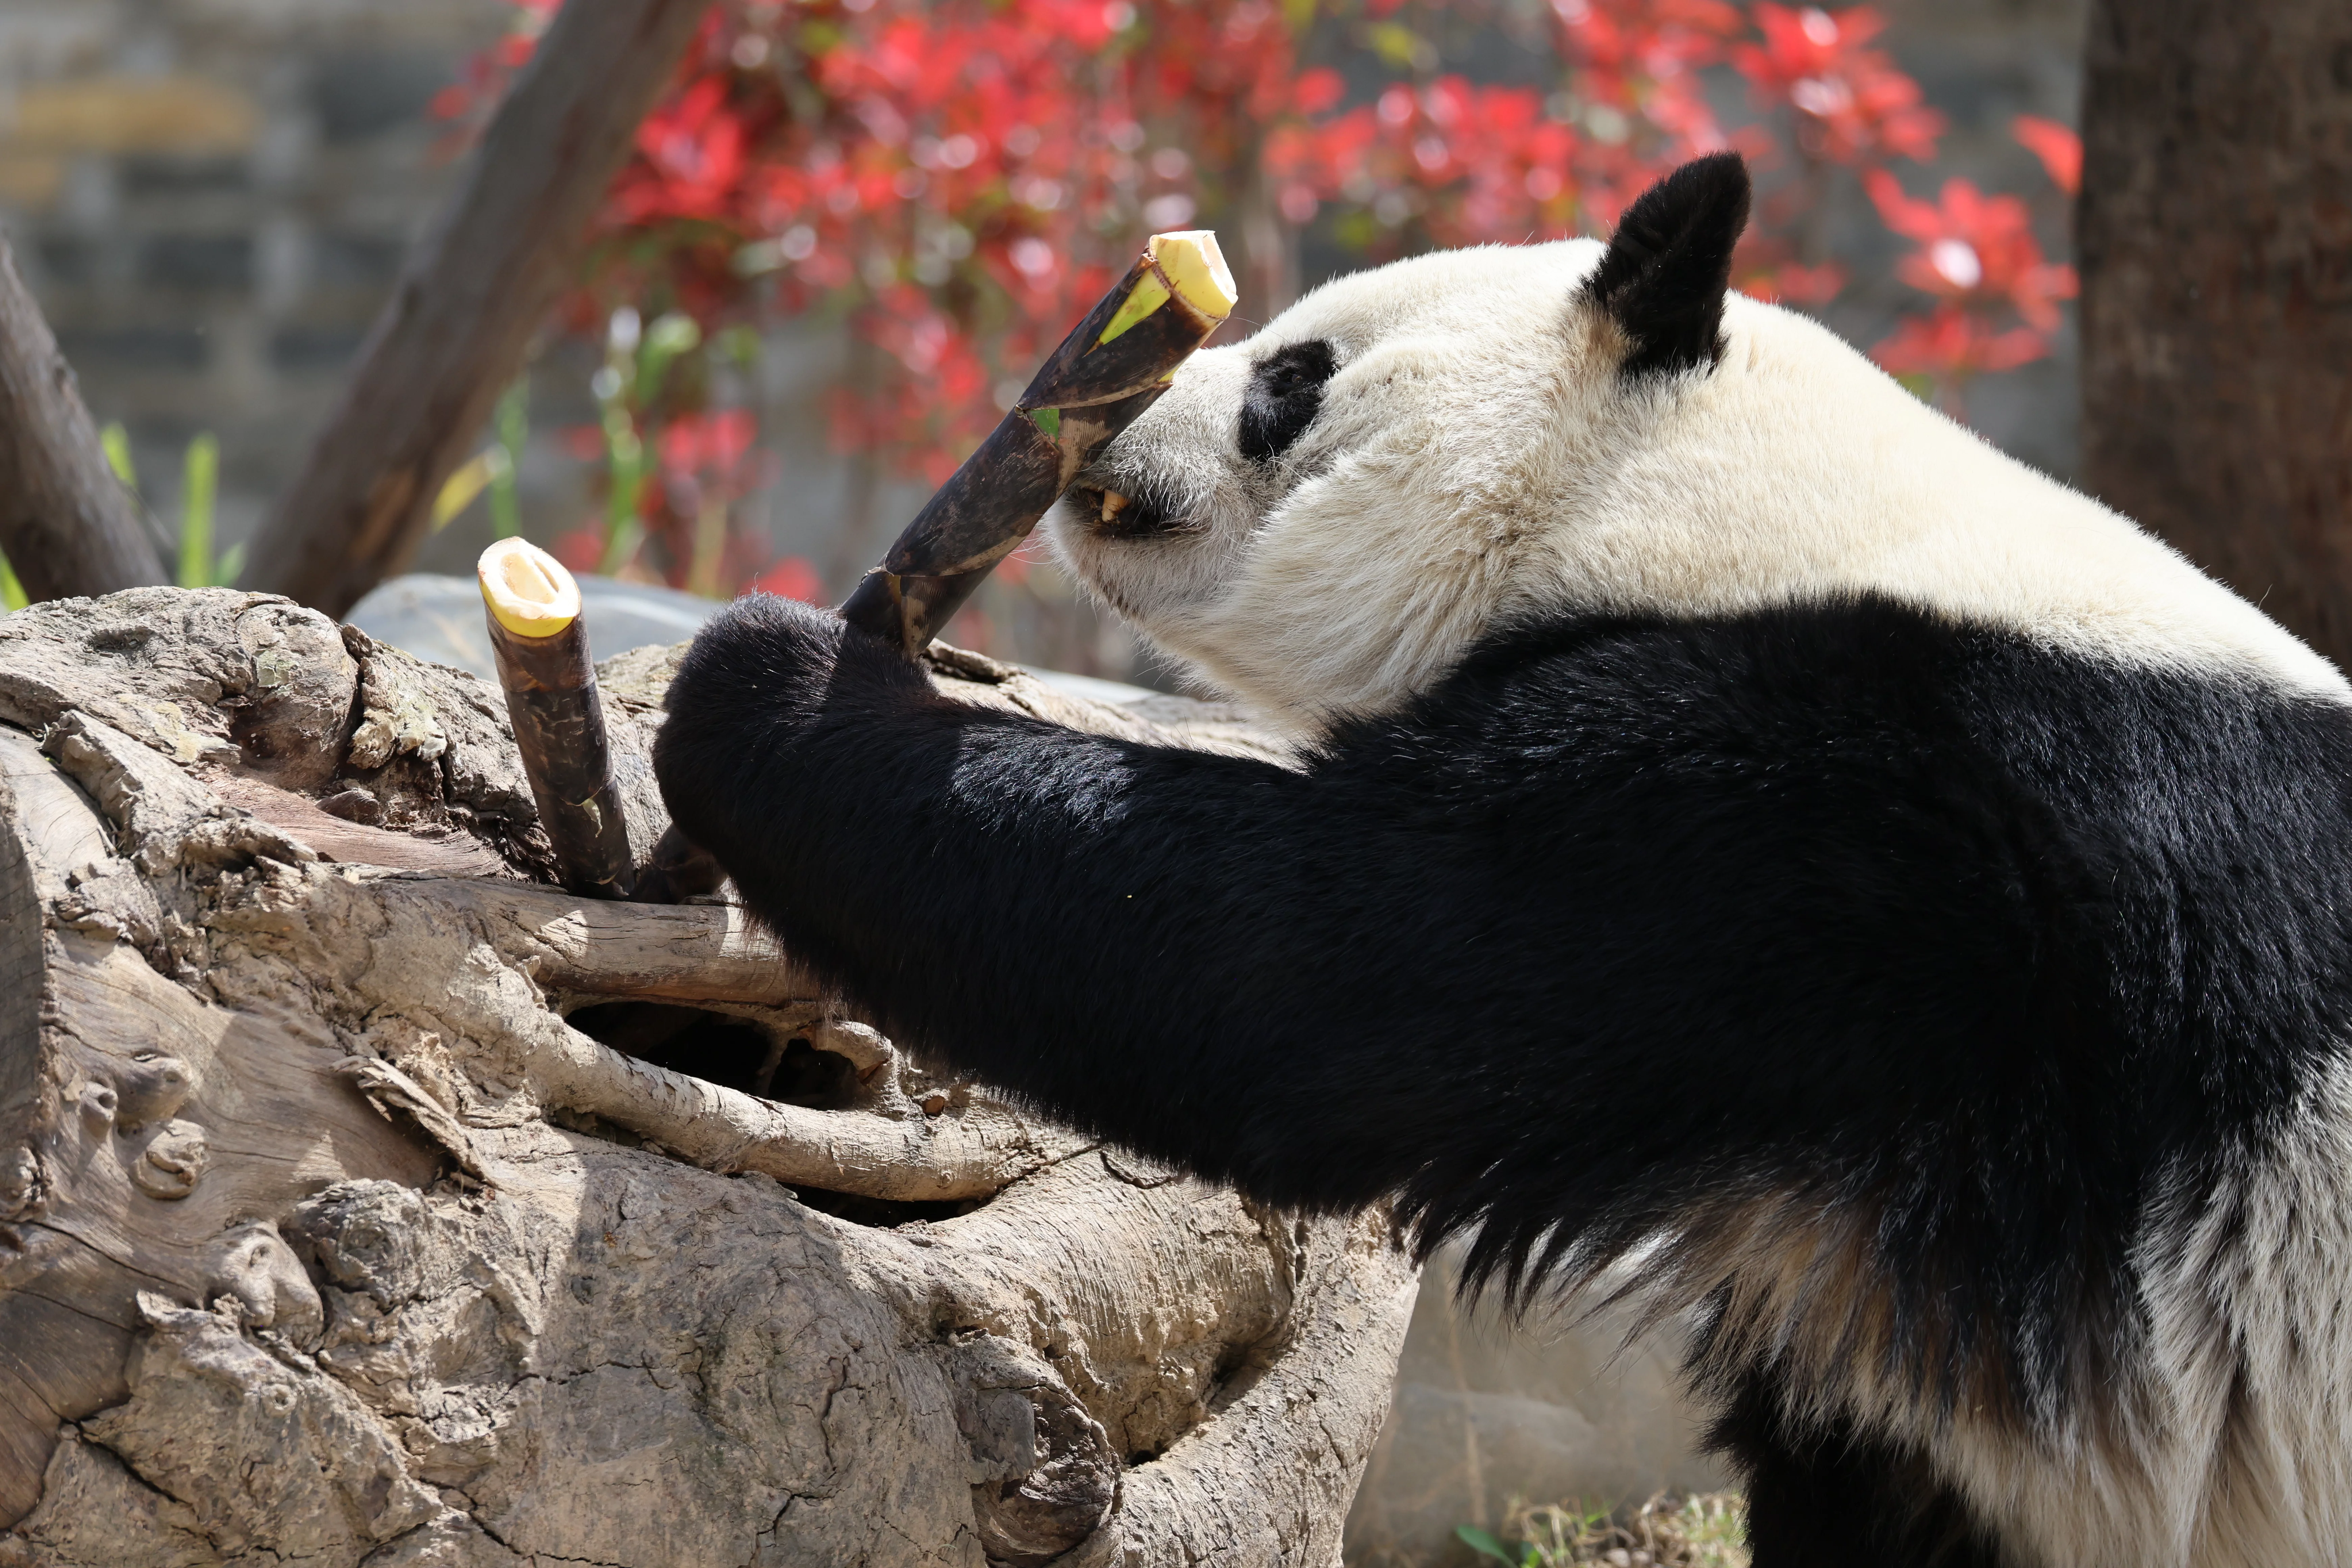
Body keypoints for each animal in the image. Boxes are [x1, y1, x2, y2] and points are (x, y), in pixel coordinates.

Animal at [653, 154, 2352, 1567]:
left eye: (1295, 375)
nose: (1112, 422)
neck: (1716, 499)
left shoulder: (1851, 824)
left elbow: (1308, 975)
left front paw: (781, 677)